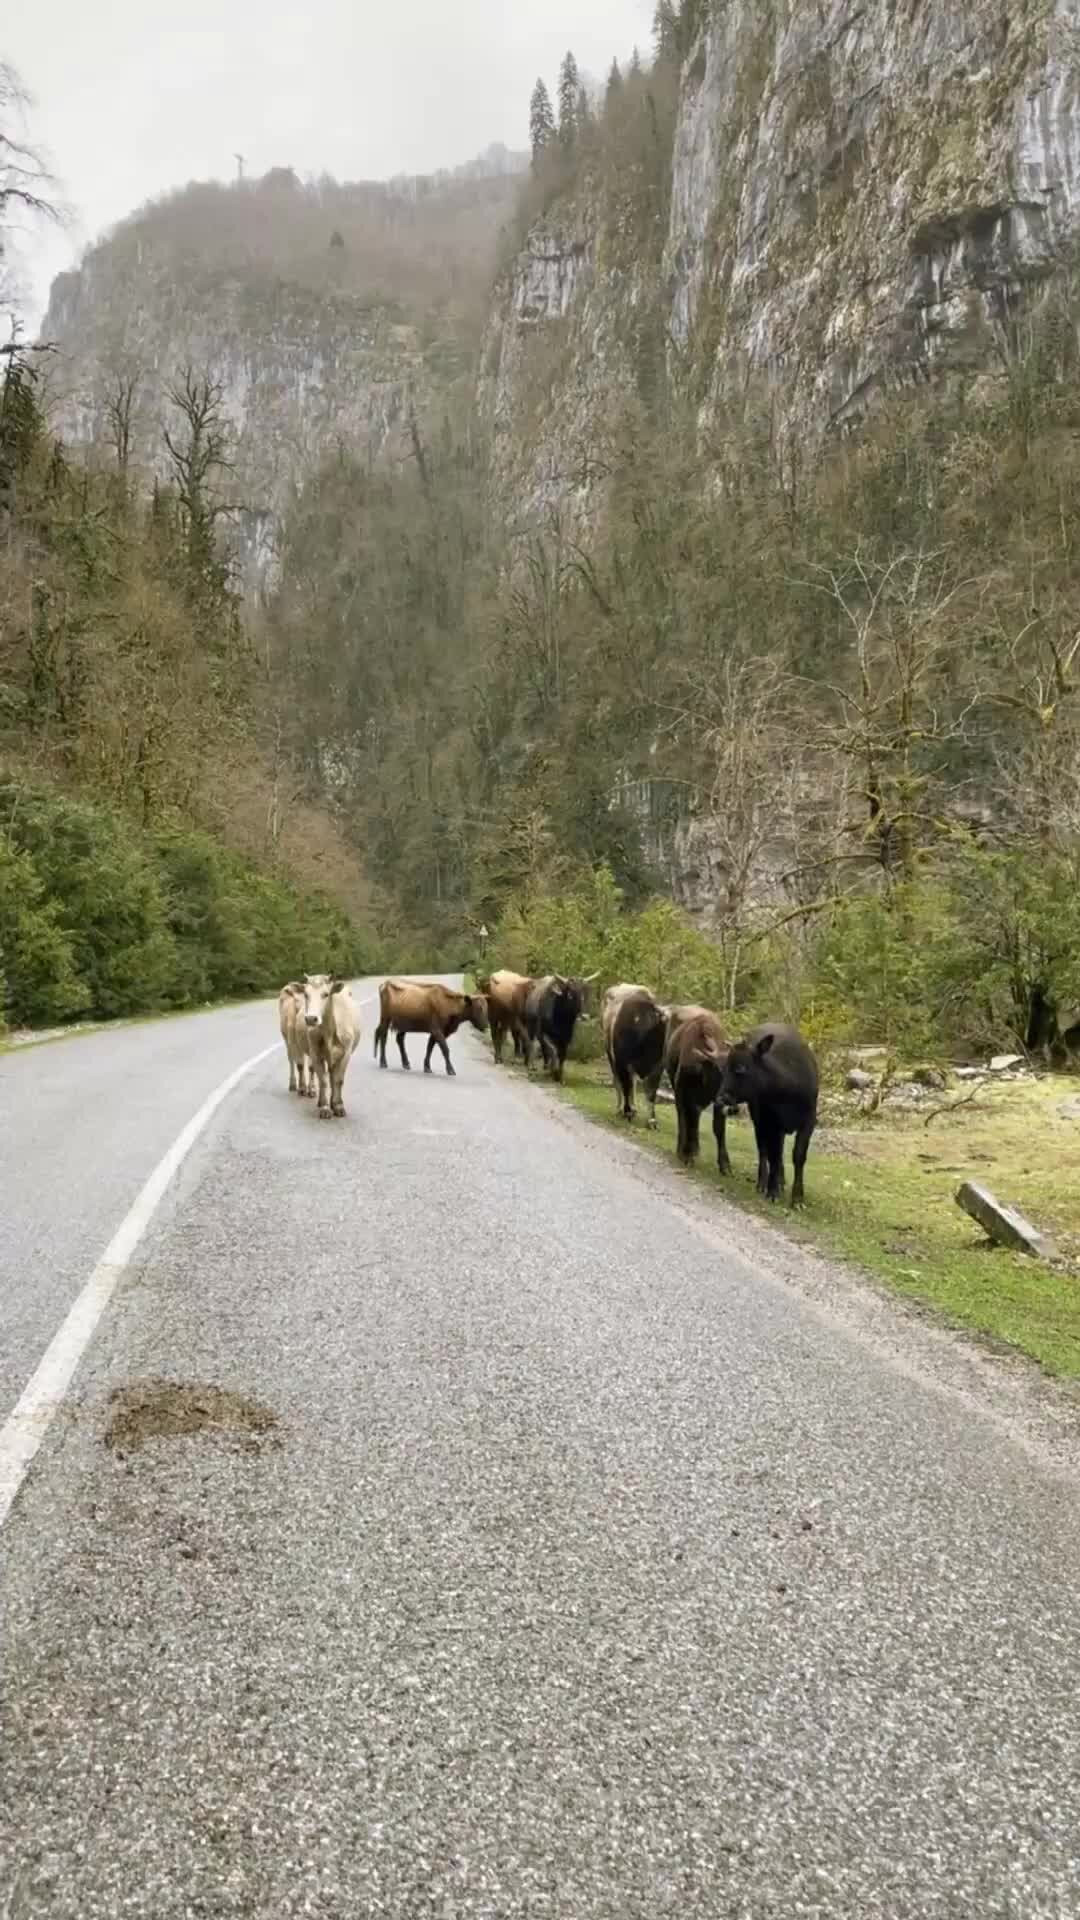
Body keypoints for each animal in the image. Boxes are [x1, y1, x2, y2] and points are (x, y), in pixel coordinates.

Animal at [297, 975, 361, 1121]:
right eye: (306, 994)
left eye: (326, 994)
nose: (311, 1019)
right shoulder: (315, 1054)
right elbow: (323, 1080)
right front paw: (325, 1108)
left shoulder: (346, 1053)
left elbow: (338, 1080)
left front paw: (338, 1106)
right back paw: (322, 1101)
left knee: (333, 1077)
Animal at [595, 990, 664, 1121]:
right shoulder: (621, 1062)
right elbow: (626, 1086)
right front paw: (627, 1111)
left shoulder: (657, 1067)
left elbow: (651, 1092)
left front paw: (652, 1119)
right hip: (611, 1057)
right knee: (620, 1082)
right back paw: (620, 1108)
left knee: (633, 1082)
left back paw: (633, 1108)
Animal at [664, 1006, 730, 1167]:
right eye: (719, 1070)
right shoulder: (680, 1088)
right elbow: (684, 1116)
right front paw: (684, 1152)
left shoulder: (715, 1099)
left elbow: (718, 1127)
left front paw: (724, 1164)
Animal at [714, 1021, 814, 1198]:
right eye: (724, 1069)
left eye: (740, 1068)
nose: (720, 1099)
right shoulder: (772, 1122)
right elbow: (772, 1155)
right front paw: (772, 1191)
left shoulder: (809, 1121)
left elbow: (799, 1155)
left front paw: (797, 1196)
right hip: (759, 1120)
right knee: (764, 1150)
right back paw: (763, 1182)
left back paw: (780, 1181)